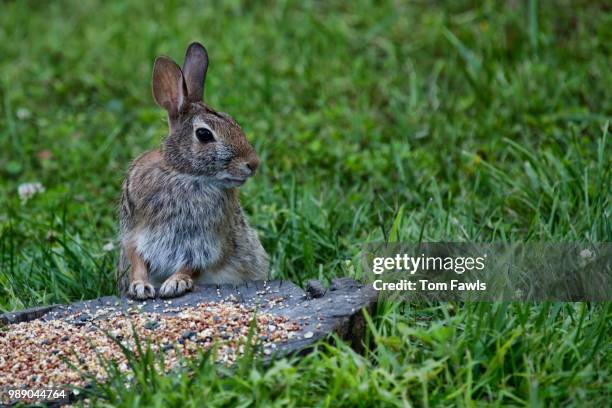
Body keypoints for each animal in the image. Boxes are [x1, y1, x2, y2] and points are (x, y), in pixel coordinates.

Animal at [116, 42, 268, 300]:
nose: (253, 163)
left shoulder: (207, 243)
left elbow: (193, 265)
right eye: (204, 134)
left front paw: (175, 284)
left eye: (233, 122)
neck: (184, 174)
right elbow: (137, 259)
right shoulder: (134, 232)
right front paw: (140, 287)